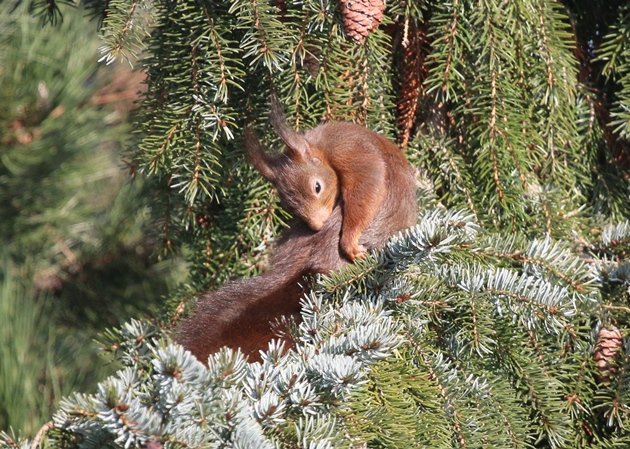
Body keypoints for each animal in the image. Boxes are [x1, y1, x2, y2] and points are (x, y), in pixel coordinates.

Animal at [175, 100, 418, 360]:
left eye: (317, 187)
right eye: (287, 205)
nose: (316, 226)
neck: (321, 146)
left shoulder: (354, 150)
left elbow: (367, 186)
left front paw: (349, 241)